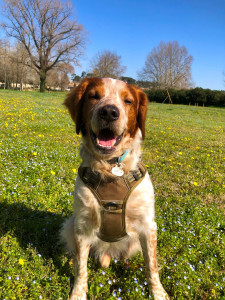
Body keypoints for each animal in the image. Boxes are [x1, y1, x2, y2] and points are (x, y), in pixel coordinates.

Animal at [60, 78, 170, 300]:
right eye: (93, 96)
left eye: (128, 101)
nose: (109, 112)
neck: (110, 168)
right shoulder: (82, 226)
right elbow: (80, 267)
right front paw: (78, 293)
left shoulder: (148, 227)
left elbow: (152, 266)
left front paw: (158, 293)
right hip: (70, 225)